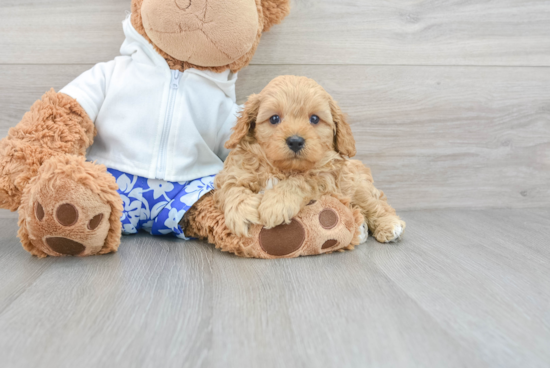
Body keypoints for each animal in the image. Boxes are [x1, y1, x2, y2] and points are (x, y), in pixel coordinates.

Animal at [216, 75, 406, 243]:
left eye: (314, 119)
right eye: (274, 118)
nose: (295, 141)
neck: (281, 169)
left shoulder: (327, 177)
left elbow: (302, 179)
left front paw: (276, 202)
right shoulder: (234, 170)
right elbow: (232, 186)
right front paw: (241, 211)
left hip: (357, 186)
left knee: (376, 205)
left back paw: (389, 225)